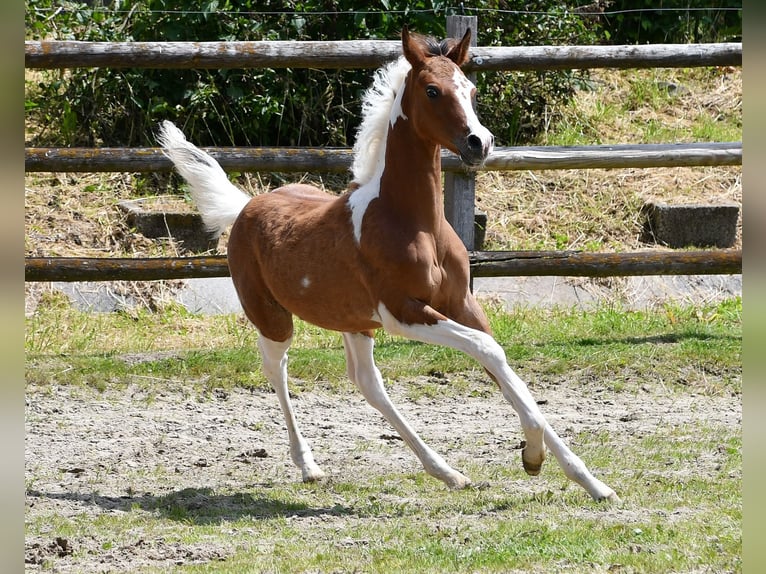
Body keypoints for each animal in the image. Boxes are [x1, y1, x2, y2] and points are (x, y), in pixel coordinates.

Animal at [159, 28, 620, 504]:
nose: (480, 143)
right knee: (277, 368)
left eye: (471, 90)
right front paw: (534, 456)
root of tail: (246, 208)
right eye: (432, 91)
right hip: (274, 318)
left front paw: (588, 480)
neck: (414, 221)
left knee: (367, 381)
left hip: (352, 320)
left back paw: (447, 472)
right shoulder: (402, 312)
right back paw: (309, 466)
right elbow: (487, 350)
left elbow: (502, 364)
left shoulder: (462, 304)